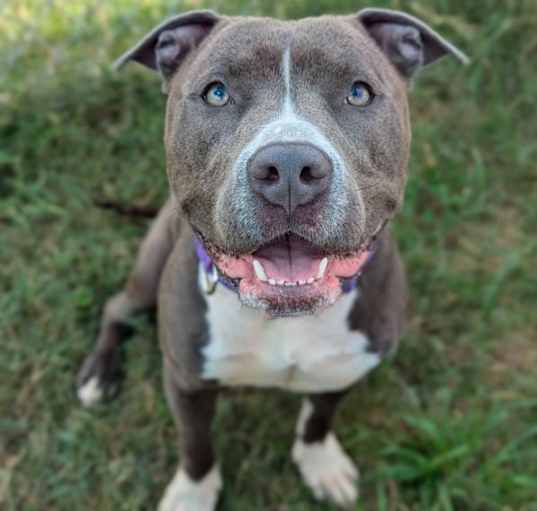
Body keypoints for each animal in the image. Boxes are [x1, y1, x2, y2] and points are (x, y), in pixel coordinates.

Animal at [77, 9, 466, 511]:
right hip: (150, 268)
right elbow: (196, 445)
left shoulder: (344, 370)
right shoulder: (185, 379)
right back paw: (99, 376)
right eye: (216, 92)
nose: (289, 169)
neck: (286, 319)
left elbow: (319, 420)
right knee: (117, 308)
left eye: (359, 92)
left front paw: (320, 463)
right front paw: (193, 492)